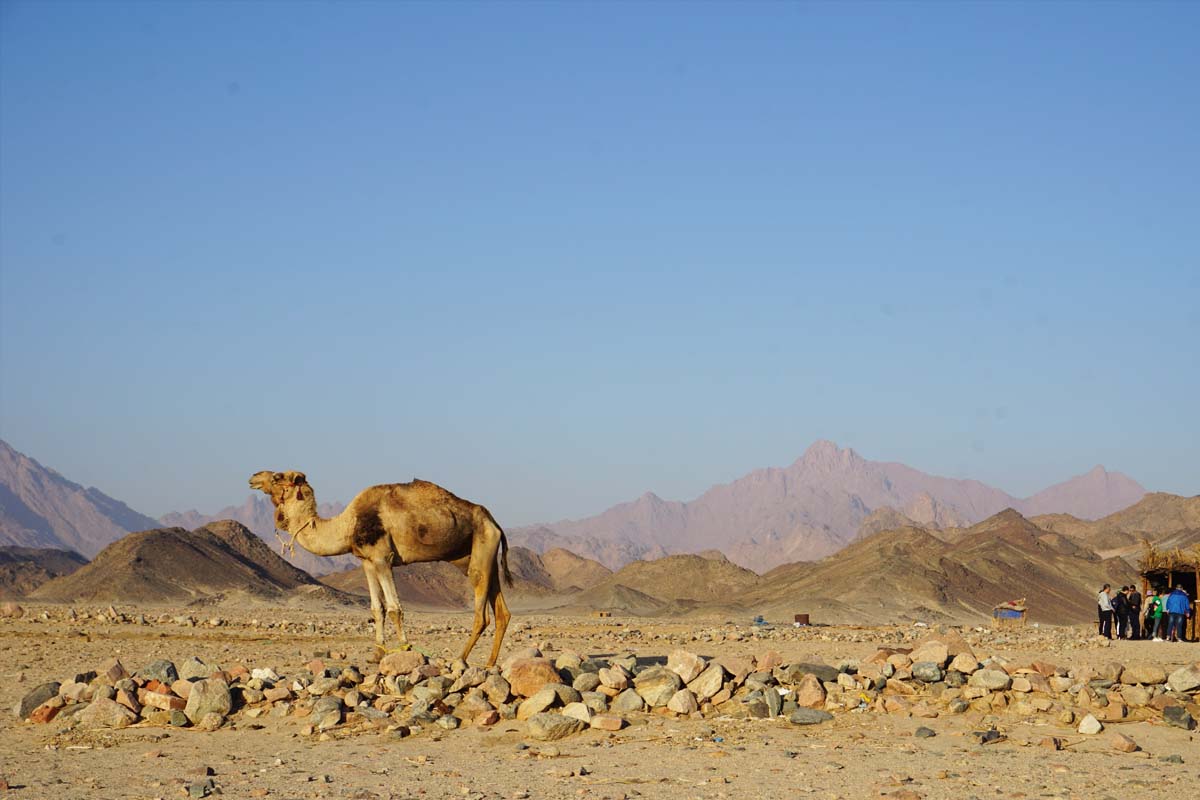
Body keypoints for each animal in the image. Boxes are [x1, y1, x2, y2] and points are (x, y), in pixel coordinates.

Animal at [249, 470, 513, 666]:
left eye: (277, 477)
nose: (253, 477)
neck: (348, 525)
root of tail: (495, 523)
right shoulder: (367, 561)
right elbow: (377, 608)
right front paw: (376, 654)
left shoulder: (383, 557)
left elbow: (395, 607)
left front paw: (405, 648)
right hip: (480, 555)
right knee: (502, 612)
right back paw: (489, 663)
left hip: (482, 548)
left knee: (481, 614)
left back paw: (460, 659)